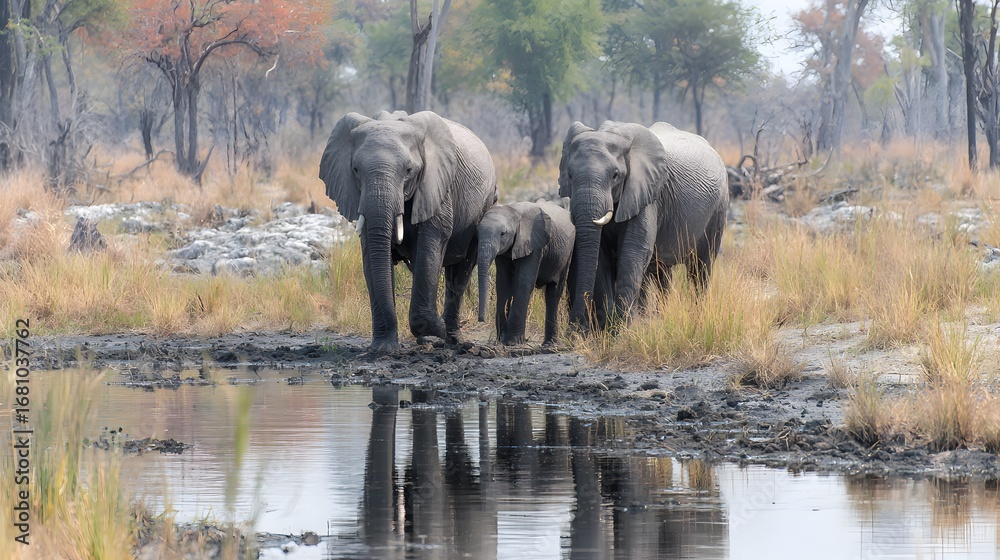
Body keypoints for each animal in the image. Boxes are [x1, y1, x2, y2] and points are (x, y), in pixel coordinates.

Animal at [320, 110, 498, 353]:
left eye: (408, 171)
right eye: (355, 170)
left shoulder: (437, 187)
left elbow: (429, 248)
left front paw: (436, 330)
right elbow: (372, 256)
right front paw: (383, 349)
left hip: (484, 206)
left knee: (461, 271)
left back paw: (452, 340)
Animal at [476, 200, 574, 345]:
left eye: (503, 233)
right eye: (477, 232)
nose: (481, 320)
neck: (513, 210)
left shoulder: (534, 244)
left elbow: (524, 281)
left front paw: (513, 341)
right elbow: (503, 283)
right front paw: (503, 339)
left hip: (567, 254)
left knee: (554, 291)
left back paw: (550, 344)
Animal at [558, 120, 729, 332]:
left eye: (615, 175)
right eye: (570, 175)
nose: (573, 330)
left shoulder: (647, 196)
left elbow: (633, 252)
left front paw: (622, 329)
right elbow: (601, 256)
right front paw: (610, 329)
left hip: (719, 208)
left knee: (701, 267)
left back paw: (697, 318)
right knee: (662, 273)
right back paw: (659, 318)